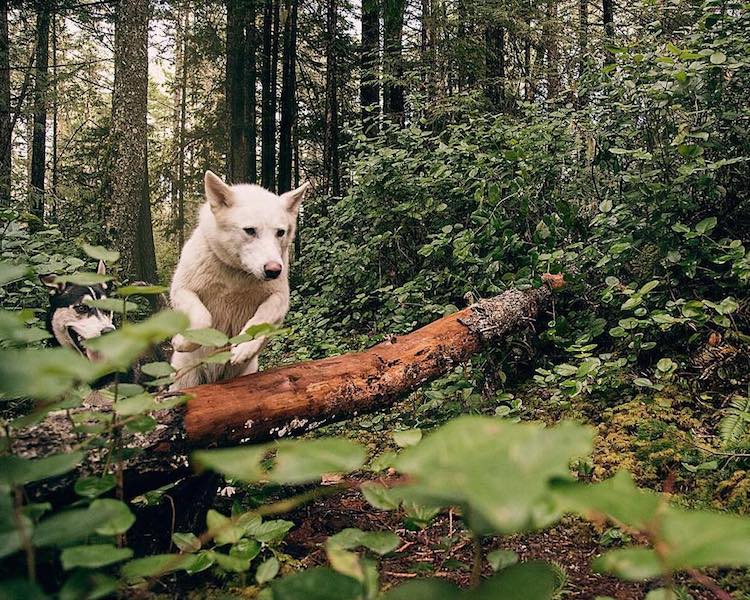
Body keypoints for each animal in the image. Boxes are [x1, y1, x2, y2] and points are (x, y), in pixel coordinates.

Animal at [170, 170, 308, 390]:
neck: (237, 274)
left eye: (280, 232)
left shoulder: (280, 299)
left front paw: (244, 348)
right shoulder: (181, 289)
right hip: (184, 381)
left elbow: (262, 319)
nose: (274, 271)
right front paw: (182, 341)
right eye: (250, 230)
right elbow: (203, 317)